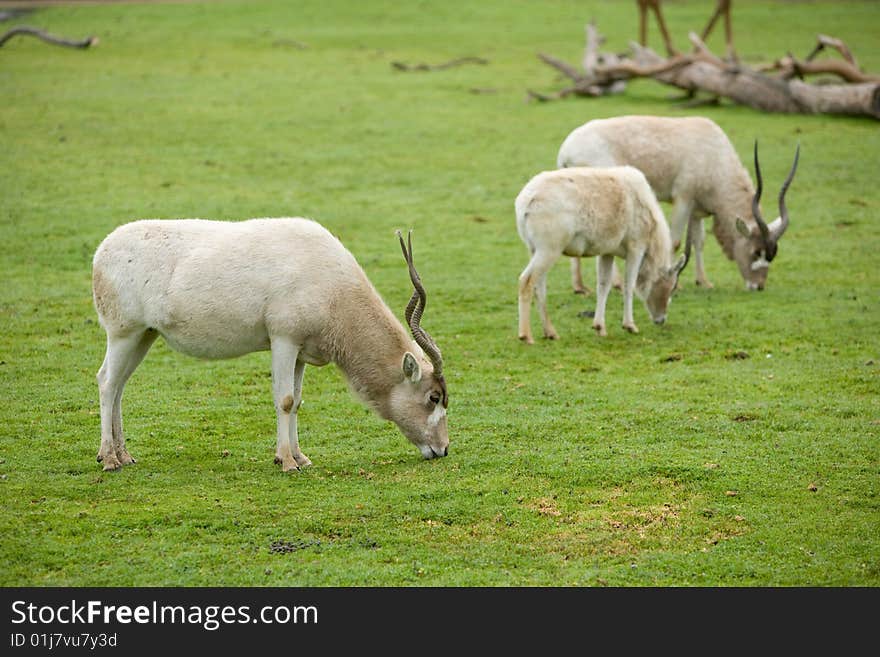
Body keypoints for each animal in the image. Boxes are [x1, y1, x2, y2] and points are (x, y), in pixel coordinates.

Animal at [93, 219, 450, 472]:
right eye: (433, 397)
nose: (443, 449)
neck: (333, 287)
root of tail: (102, 252)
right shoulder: (283, 340)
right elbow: (285, 400)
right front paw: (287, 462)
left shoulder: (301, 352)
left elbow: (299, 401)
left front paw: (300, 457)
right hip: (123, 333)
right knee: (108, 383)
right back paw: (109, 459)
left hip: (144, 335)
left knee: (120, 386)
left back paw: (125, 455)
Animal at [516, 164, 688, 340]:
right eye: (672, 287)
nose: (661, 319)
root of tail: (525, 203)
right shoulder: (636, 246)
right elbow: (628, 284)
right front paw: (630, 326)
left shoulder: (607, 251)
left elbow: (603, 285)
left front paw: (599, 327)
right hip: (550, 247)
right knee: (526, 280)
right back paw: (526, 336)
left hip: (534, 249)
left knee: (539, 287)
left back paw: (551, 333)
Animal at [560, 115, 800, 292]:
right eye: (755, 252)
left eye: (772, 255)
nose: (757, 286)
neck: (714, 155)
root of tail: (566, 151)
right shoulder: (683, 199)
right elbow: (675, 242)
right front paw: (673, 283)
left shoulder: (696, 208)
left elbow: (698, 241)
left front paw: (703, 282)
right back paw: (616, 283)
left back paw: (579, 287)